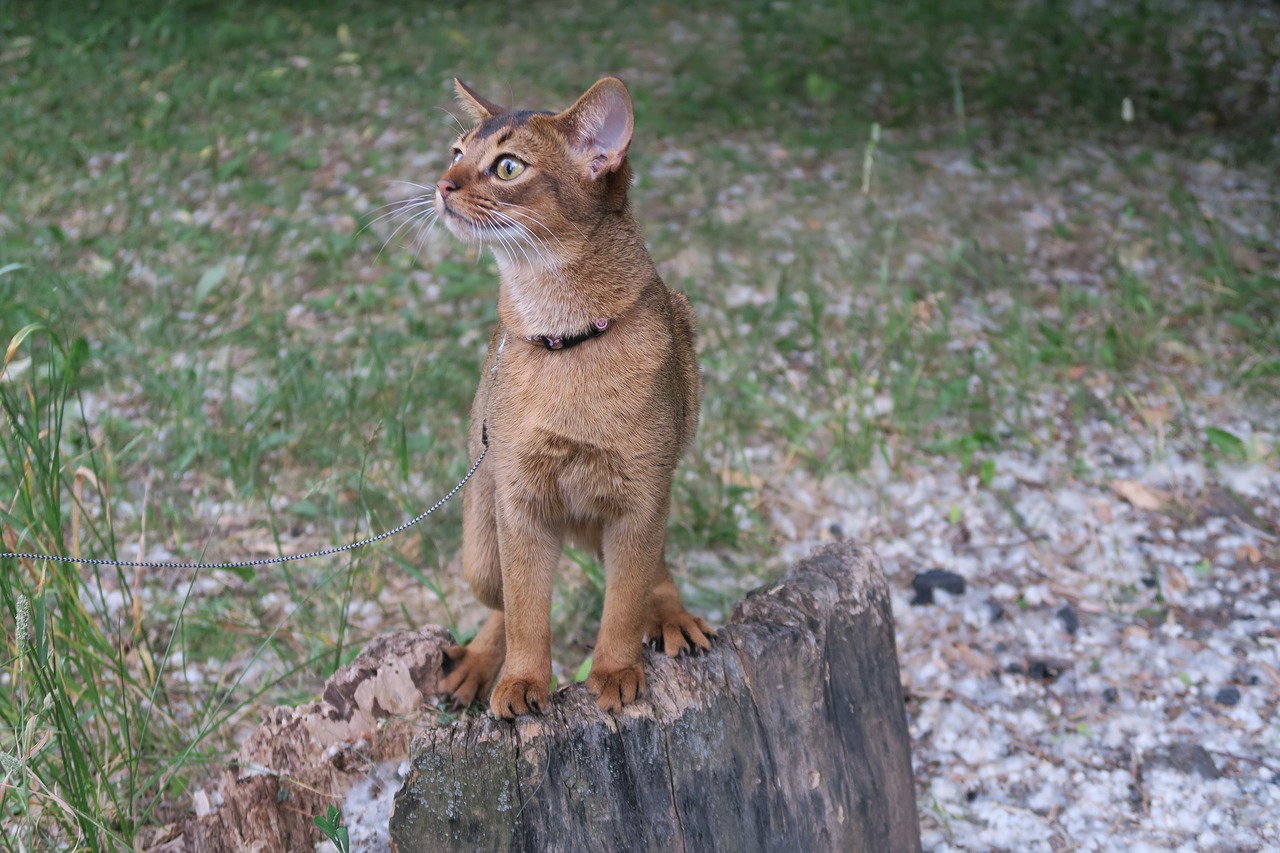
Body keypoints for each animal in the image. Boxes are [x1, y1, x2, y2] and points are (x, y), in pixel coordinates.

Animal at [435, 78, 716, 717]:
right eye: (456, 153)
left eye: (508, 166)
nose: (441, 185)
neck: (565, 338)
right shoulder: (520, 502)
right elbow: (526, 610)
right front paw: (521, 681)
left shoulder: (641, 497)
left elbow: (624, 602)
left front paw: (615, 672)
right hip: (480, 545)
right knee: (500, 603)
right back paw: (478, 665)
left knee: (653, 573)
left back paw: (673, 616)